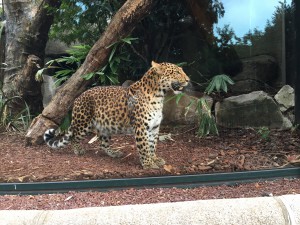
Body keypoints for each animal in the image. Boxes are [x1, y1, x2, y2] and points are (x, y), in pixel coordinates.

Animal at [44, 61, 190, 169]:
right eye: (177, 72)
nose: (188, 80)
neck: (159, 96)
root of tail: (78, 97)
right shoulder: (141, 127)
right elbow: (144, 147)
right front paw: (148, 164)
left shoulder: (154, 127)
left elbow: (152, 145)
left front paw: (154, 159)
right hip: (83, 122)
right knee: (74, 137)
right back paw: (78, 150)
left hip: (105, 127)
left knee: (103, 144)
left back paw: (114, 153)